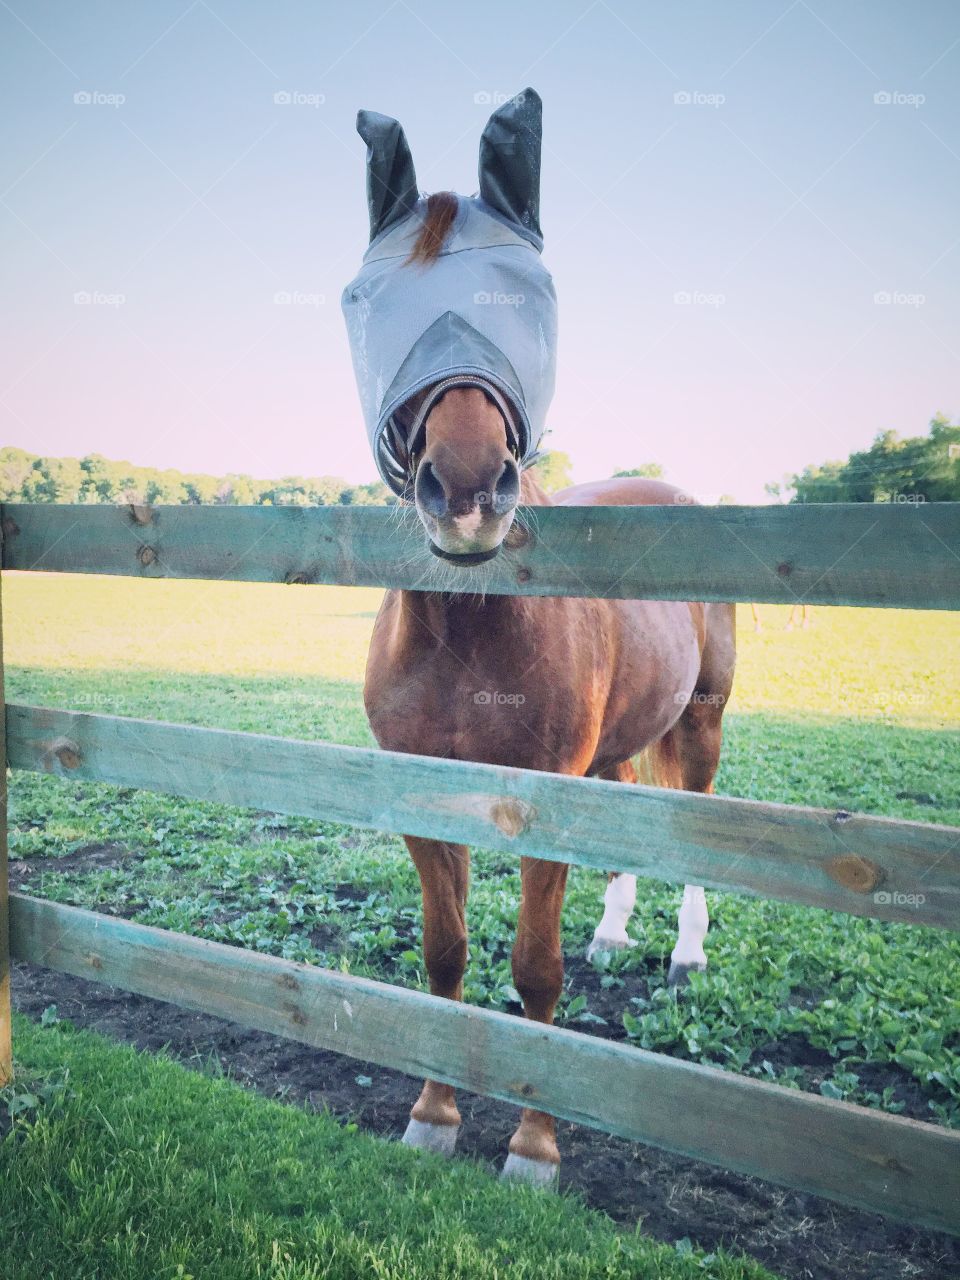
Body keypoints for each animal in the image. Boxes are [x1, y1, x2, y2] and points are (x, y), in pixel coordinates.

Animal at [344, 90, 737, 1185]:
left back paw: (683, 954)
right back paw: (614, 933)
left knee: (693, 823)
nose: (469, 485)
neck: (465, 636)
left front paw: (534, 1144)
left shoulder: (542, 801)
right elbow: (444, 959)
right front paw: (433, 1115)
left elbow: (534, 971)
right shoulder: (426, 799)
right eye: (371, 298)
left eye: (529, 294)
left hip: (701, 723)